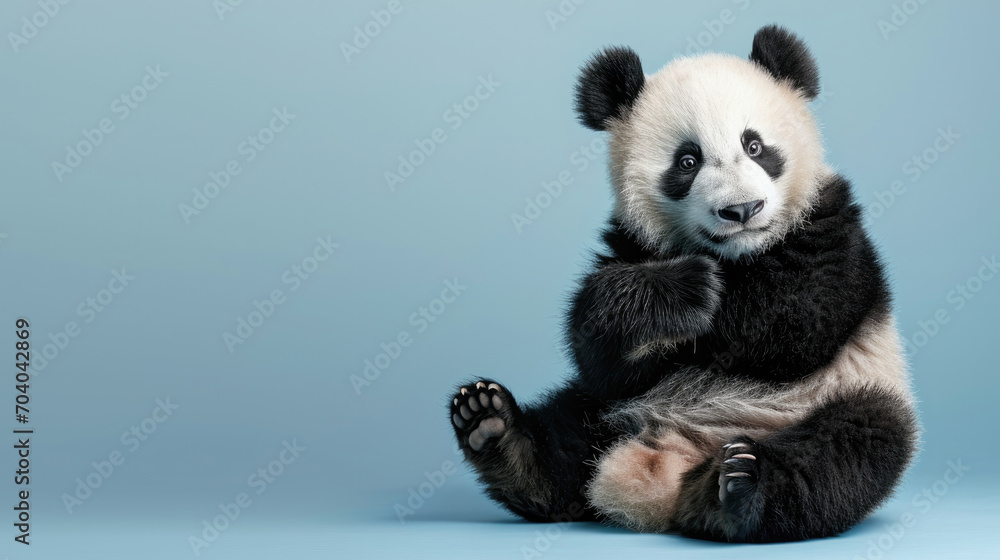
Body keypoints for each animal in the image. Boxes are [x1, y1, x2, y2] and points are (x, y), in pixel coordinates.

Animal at [448, 25, 919, 543]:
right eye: (687, 161)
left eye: (755, 147)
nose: (742, 210)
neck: (738, 256)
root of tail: (671, 469)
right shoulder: (633, 242)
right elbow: (599, 354)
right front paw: (676, 291)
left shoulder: (831, 227)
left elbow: (798, 318)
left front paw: (704, 293)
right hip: (612, 412)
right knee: (570, 437)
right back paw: (494, 428)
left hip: (848, 392)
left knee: (845, 452)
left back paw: (737, 490)